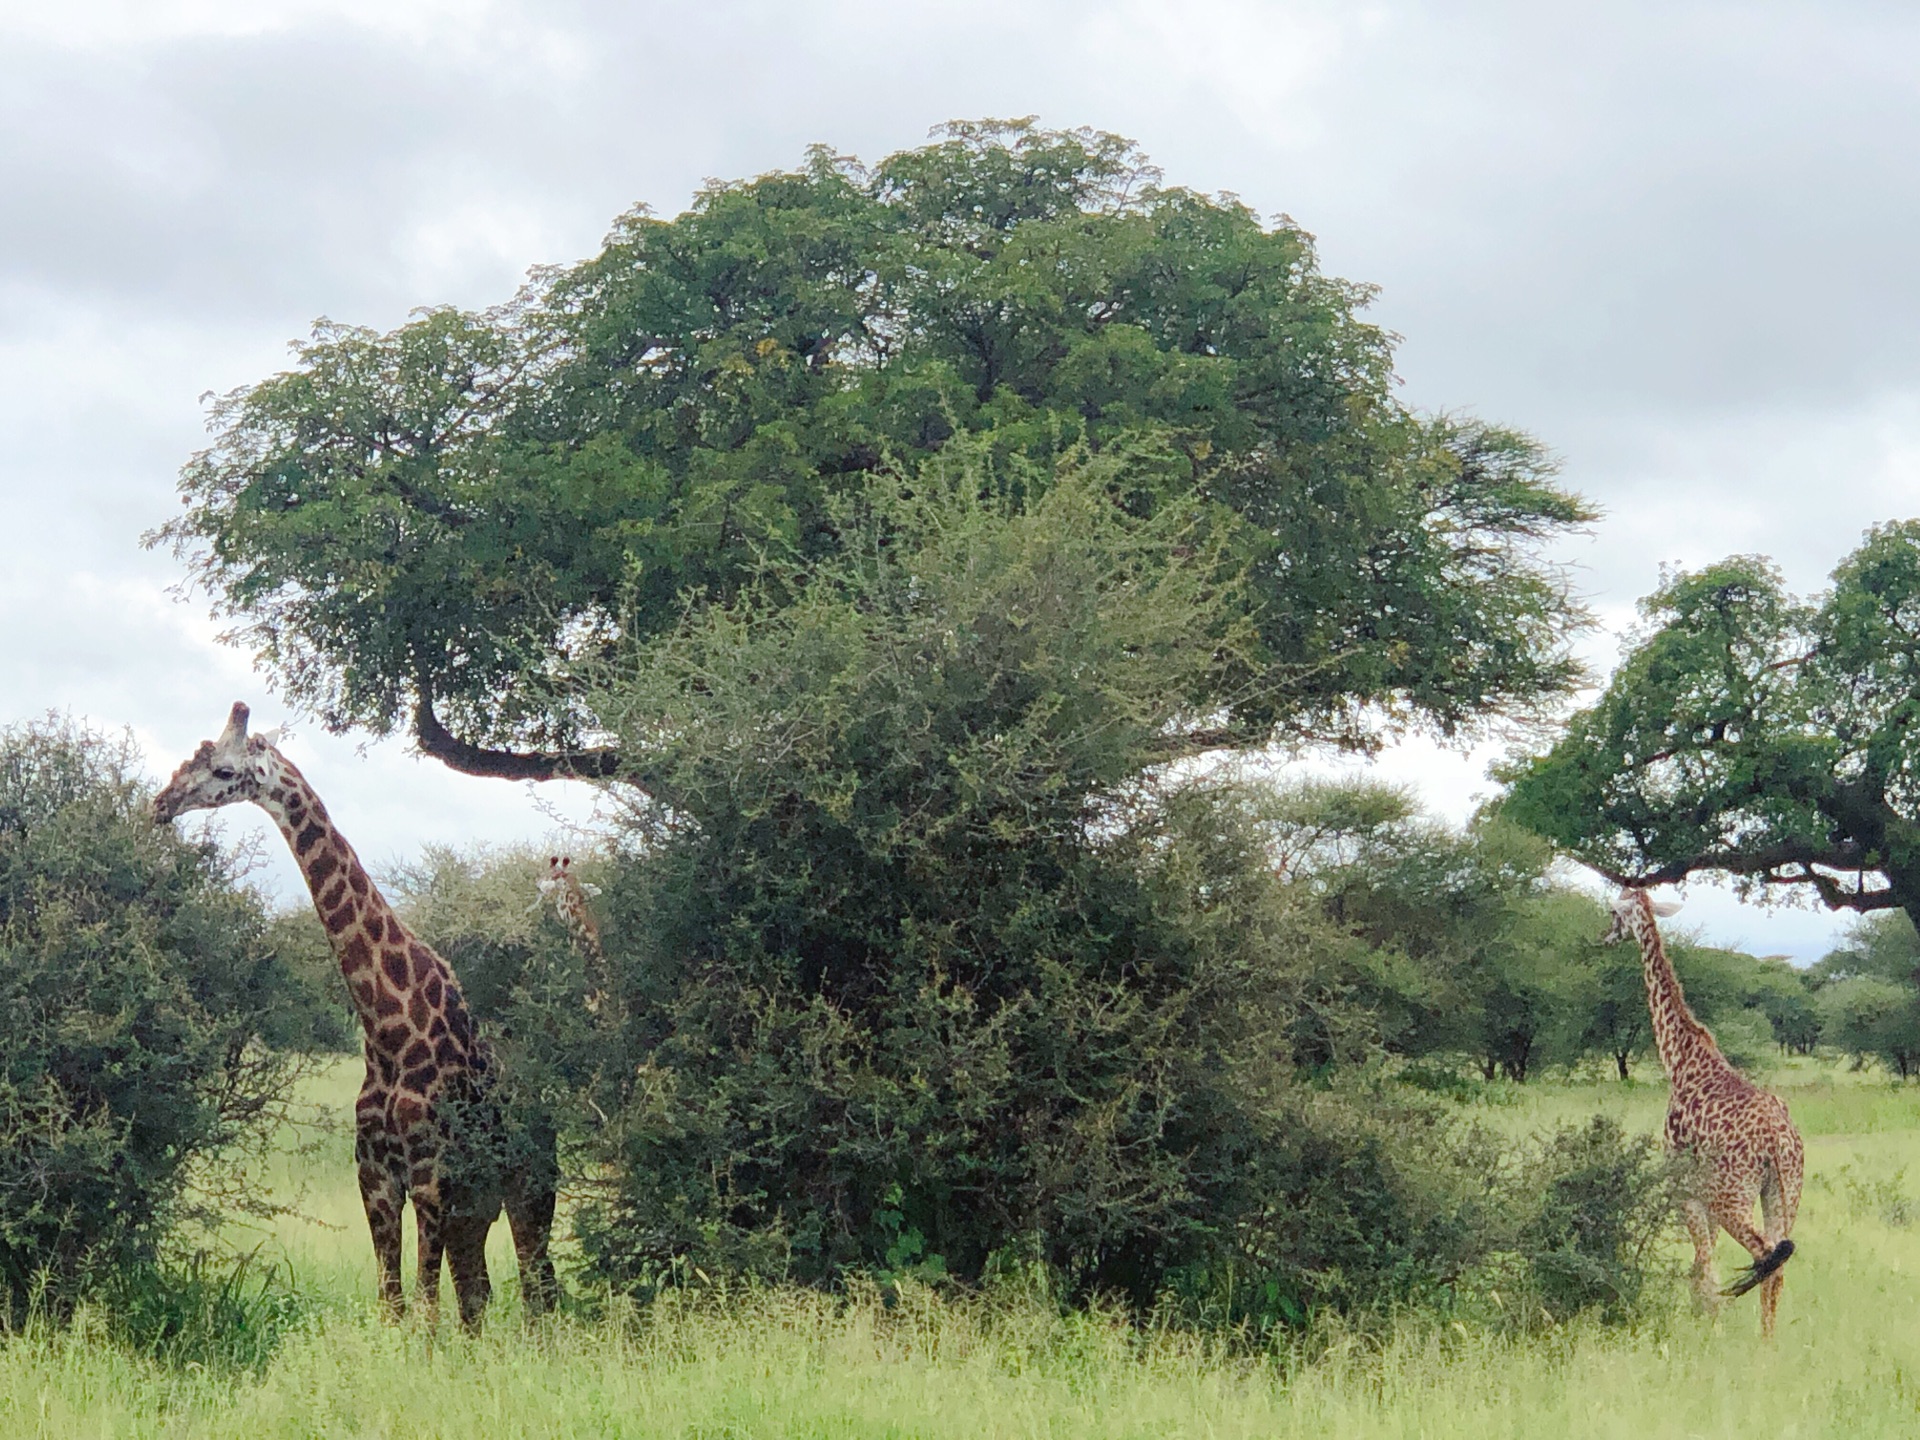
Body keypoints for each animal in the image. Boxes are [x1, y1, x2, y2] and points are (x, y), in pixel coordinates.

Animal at [153, 706, 560, 1336]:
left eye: (222, 769)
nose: (162, 803)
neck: (386, 1026)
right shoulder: (376, 1179)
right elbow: (394, 1305)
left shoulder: (429, 1177)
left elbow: (424, 1311)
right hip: (477, 1201)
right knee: (480, 1294)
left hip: (530, 1185)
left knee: (540, 1290)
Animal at [1597, 890, 1804, 1344]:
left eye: (1613, 913)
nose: (1603, 936)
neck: (1679, 1058)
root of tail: (1778, 1141)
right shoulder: (1703, 1198)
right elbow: (1700, 1267)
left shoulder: (1685, 1189)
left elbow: (1704, 1268)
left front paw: (1713, 1332)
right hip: (1784, 1193)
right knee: (1778, 1264)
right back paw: (1768, 1345)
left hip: (1733, 1197)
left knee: (1765, 1255)